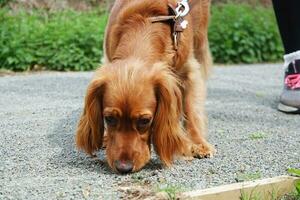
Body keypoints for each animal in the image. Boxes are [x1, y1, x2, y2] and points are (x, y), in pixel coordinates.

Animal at [75, 0, 216, 173]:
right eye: (109, 118)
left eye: (144, 121)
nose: (123, 168)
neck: (145, 23)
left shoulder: (189, 71)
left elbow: (191, 110)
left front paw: (197, 142)